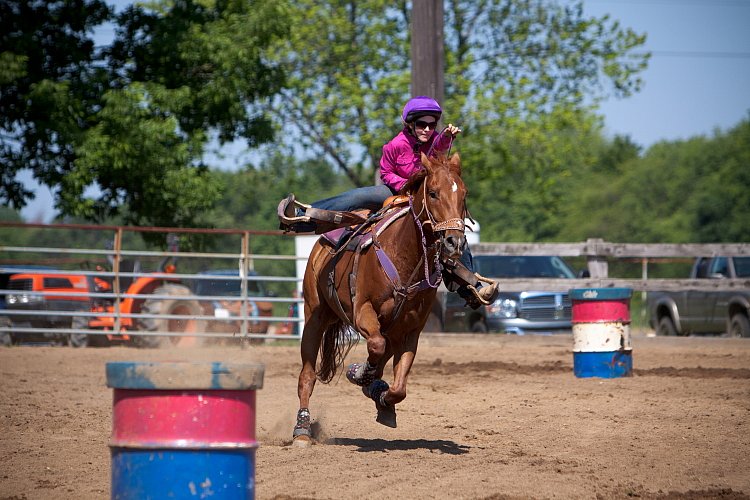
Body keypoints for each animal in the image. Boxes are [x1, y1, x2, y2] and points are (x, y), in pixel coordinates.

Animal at [296, 150, 468, 448]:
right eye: (433, 193)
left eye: (464, 195)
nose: (454, 242)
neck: (404, 257)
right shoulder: (362, 311)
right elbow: (375, 347)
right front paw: (359, 373)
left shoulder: (411, 331)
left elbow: (398, 387)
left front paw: (382, 397)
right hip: (314, 316)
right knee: (307, 375)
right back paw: (302, 429)